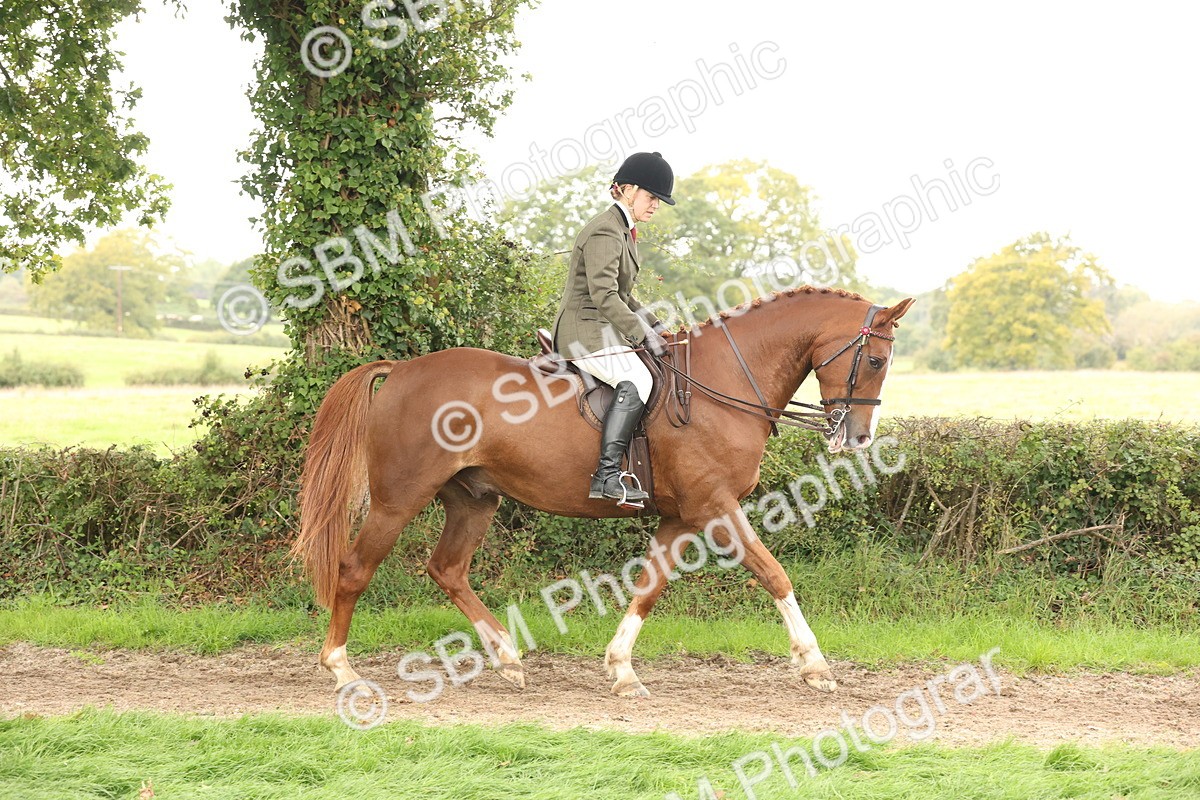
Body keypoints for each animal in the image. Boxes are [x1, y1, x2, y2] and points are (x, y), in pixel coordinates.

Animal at [293, 286, 915, 698]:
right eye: (876, 359)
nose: (859, 439)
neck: (721, 384)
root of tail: (402, 370)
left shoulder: (681, 516)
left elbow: (649, 587)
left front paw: (621, 668)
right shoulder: (715, 508)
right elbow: (774, 573)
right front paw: (814, 664)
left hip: (474, 498)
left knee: (447, 570)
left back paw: (508, 658)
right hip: (399, 498)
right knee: (355, 570)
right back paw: (341, 668)